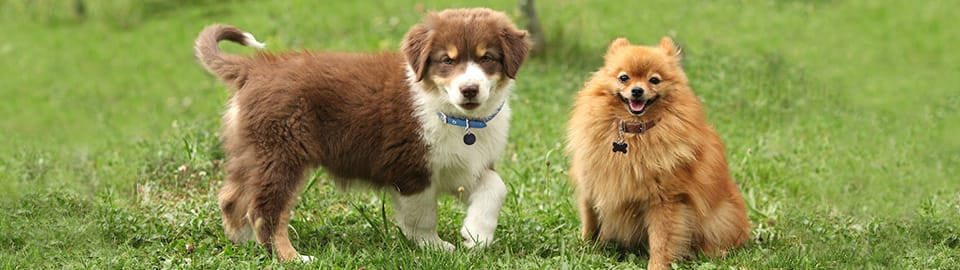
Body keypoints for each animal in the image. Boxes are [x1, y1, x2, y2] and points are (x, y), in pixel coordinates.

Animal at [191, 8, 528, 262]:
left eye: (487, 58)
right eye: (448, 60)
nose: (469, 90)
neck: (459, 118)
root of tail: (253, 69)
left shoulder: (463, 164)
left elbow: (496, 187)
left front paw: (476, 235)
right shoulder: (411, 169)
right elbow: (421, 217)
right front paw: (436, 248)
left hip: (253, 151)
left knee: (231, 197)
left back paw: (242, 242)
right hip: (283, 152)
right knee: (265, 211)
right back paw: (291, 257)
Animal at [568, 37, 752, 268]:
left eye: (654, 80)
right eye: (624, 78)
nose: (637, 91)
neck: (634, 132)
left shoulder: (665, 201)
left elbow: (661, 240)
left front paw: (657, 265)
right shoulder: (592, 186)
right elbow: (590, 223)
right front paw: (585, 250)